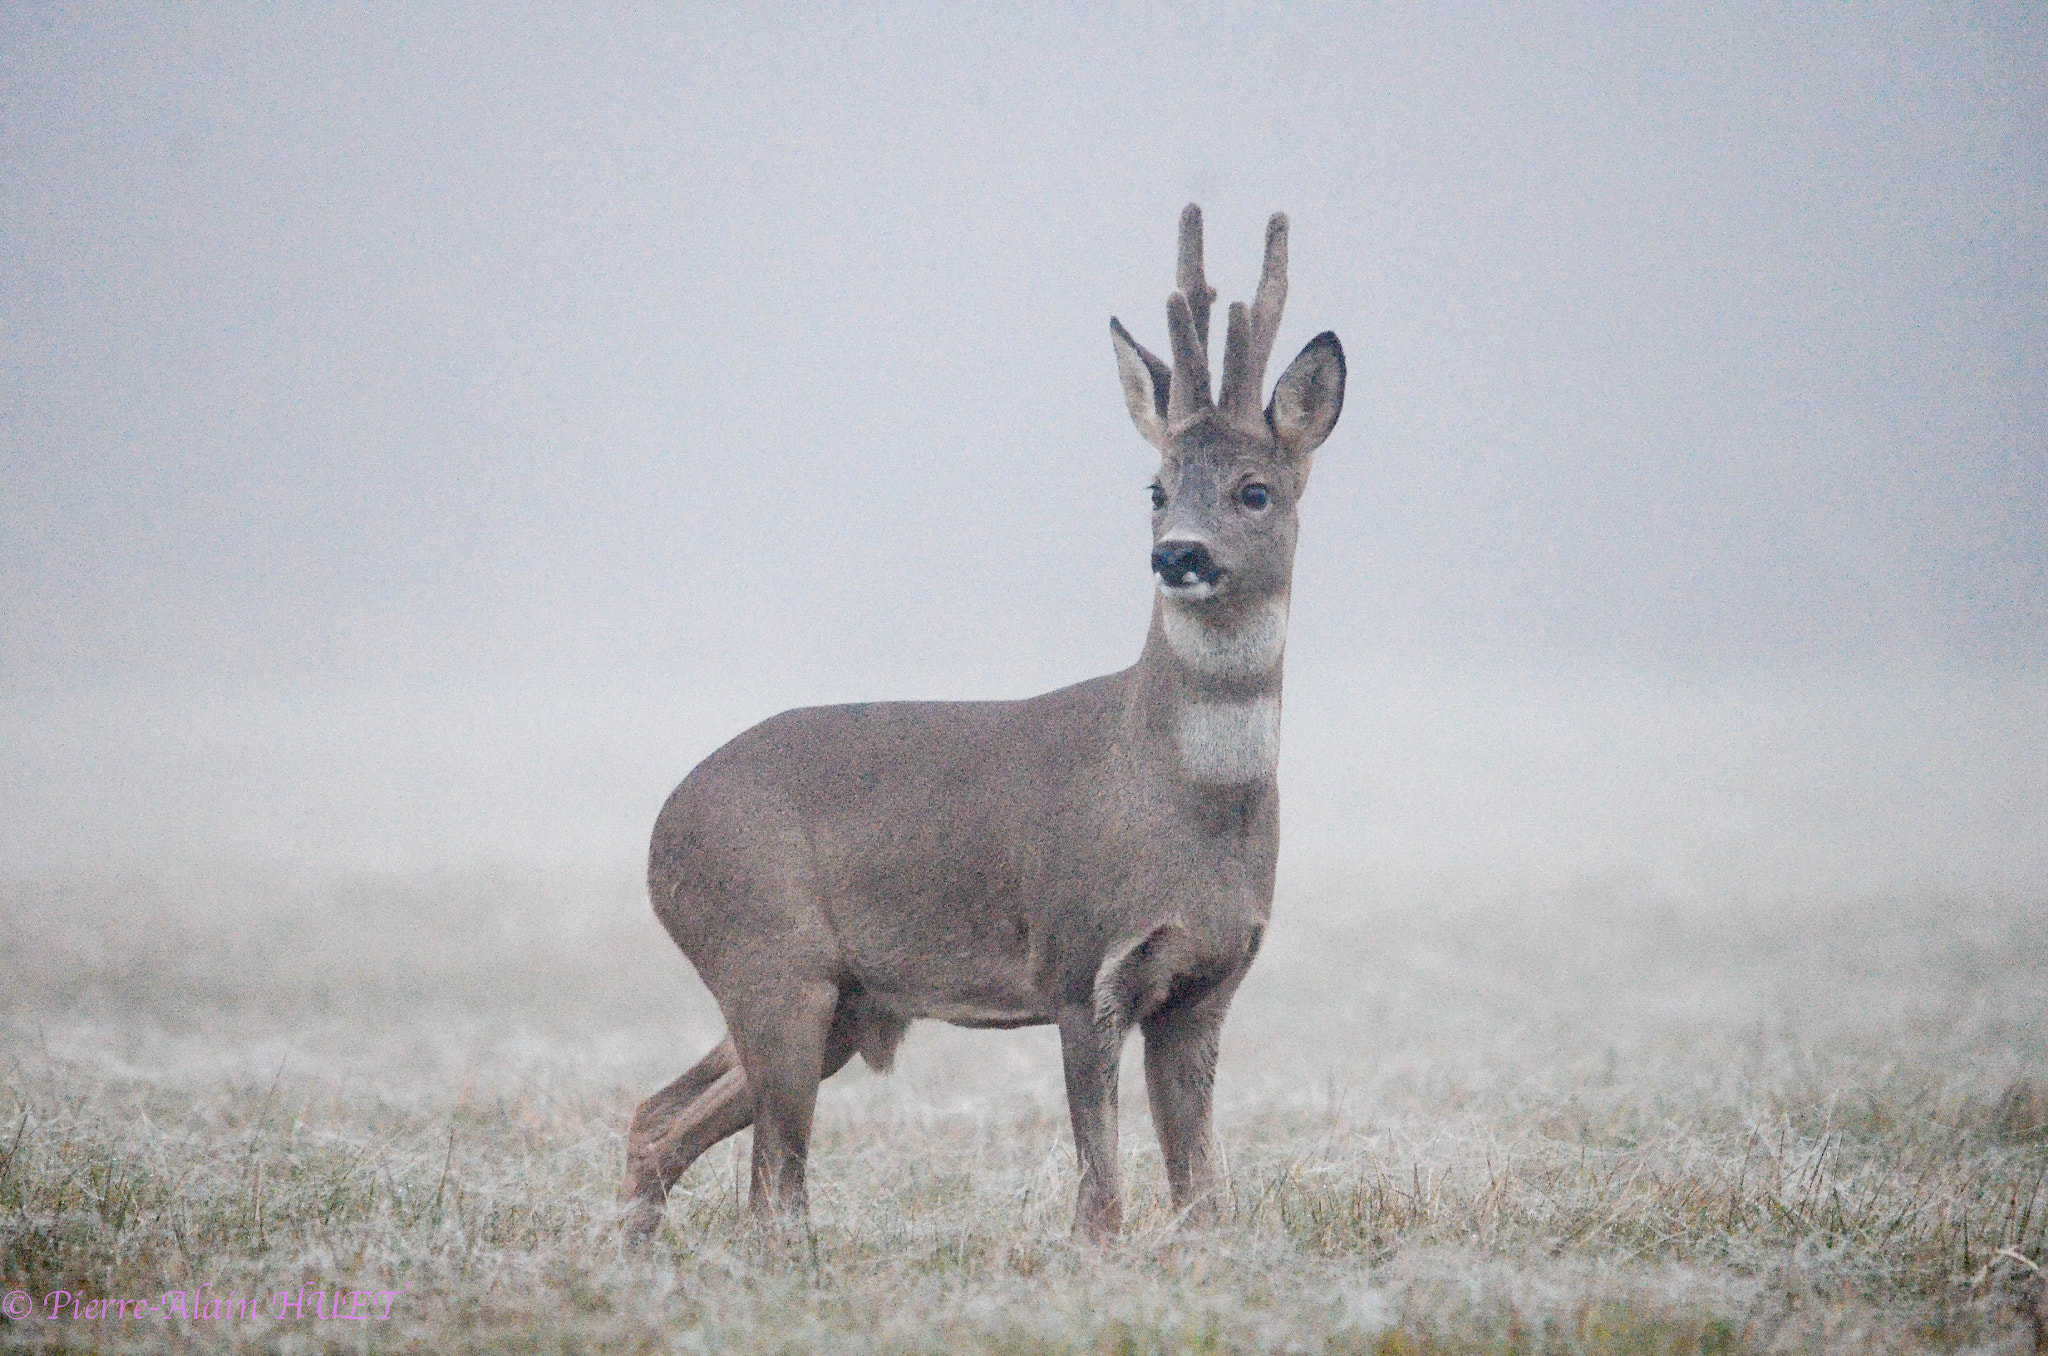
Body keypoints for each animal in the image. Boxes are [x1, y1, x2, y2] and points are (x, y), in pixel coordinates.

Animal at [626, 206, 1359, 1245]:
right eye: (1155, 487)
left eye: (1256, 489)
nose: (1177, 554)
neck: (1179, 806)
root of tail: (660, 830)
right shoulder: (1079, 957)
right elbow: (1101, 1197)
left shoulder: (1207, 984)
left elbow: (1203, 1193)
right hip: (768, 953)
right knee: (772, 1181)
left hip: (840, 1001)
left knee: (660, 1120)